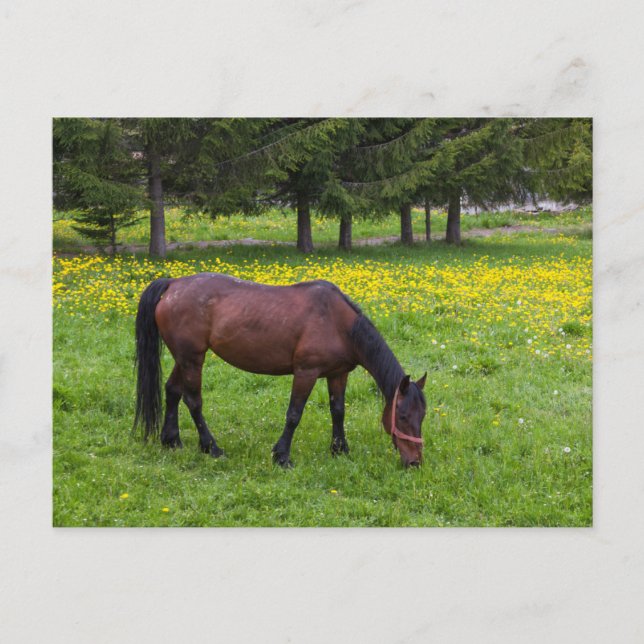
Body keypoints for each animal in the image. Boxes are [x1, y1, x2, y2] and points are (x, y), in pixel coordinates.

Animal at [134, 273, 427, 467]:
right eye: (402, 416)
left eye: (421, 416)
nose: (415, 462)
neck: (338, 323)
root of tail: (173, 284)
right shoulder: (306, 372)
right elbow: (294, 414)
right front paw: (282, 456)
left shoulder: (338, 374)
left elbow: (338, 411)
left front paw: (340, 450)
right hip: (192, 359)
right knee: (193, 401)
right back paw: (211, 447)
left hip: (184, 358)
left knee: (172, 390)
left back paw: (171, 440)